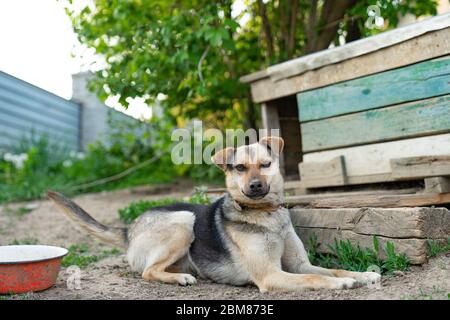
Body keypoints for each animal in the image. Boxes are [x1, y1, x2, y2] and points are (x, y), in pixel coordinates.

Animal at [48, 136, 380, 292]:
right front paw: (338, 285)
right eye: (240, 167)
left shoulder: (299, 264)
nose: (255, 186)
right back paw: (180, 278)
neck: (266, 215)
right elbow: (316, 278)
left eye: (265, 164)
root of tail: (130, 228)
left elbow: (334, 270)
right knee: (147, 271)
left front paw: (363, 275)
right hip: (185, 221)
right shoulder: (270, 275)